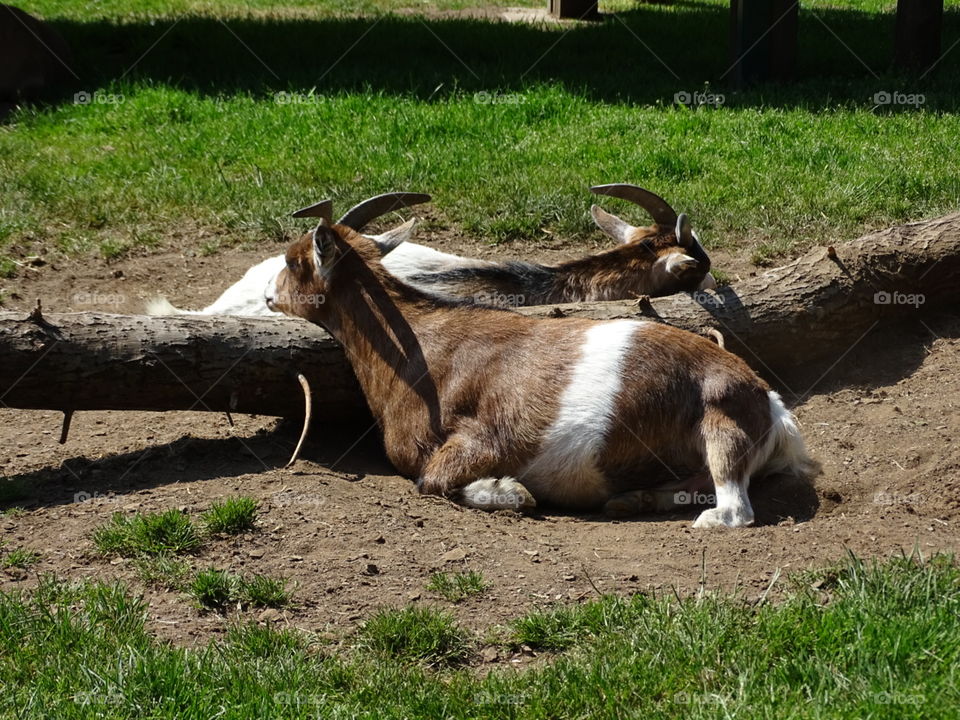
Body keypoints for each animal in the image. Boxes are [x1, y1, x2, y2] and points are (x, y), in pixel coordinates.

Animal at [264, 220, 818, 528]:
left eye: (294, 261)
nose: (268, 294)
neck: (421, 340)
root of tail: (769, 404)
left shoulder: (483, 439)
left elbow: (432, 480)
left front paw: (509, 492)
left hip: (722, 429)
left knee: (735, 511)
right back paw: (634, 499)